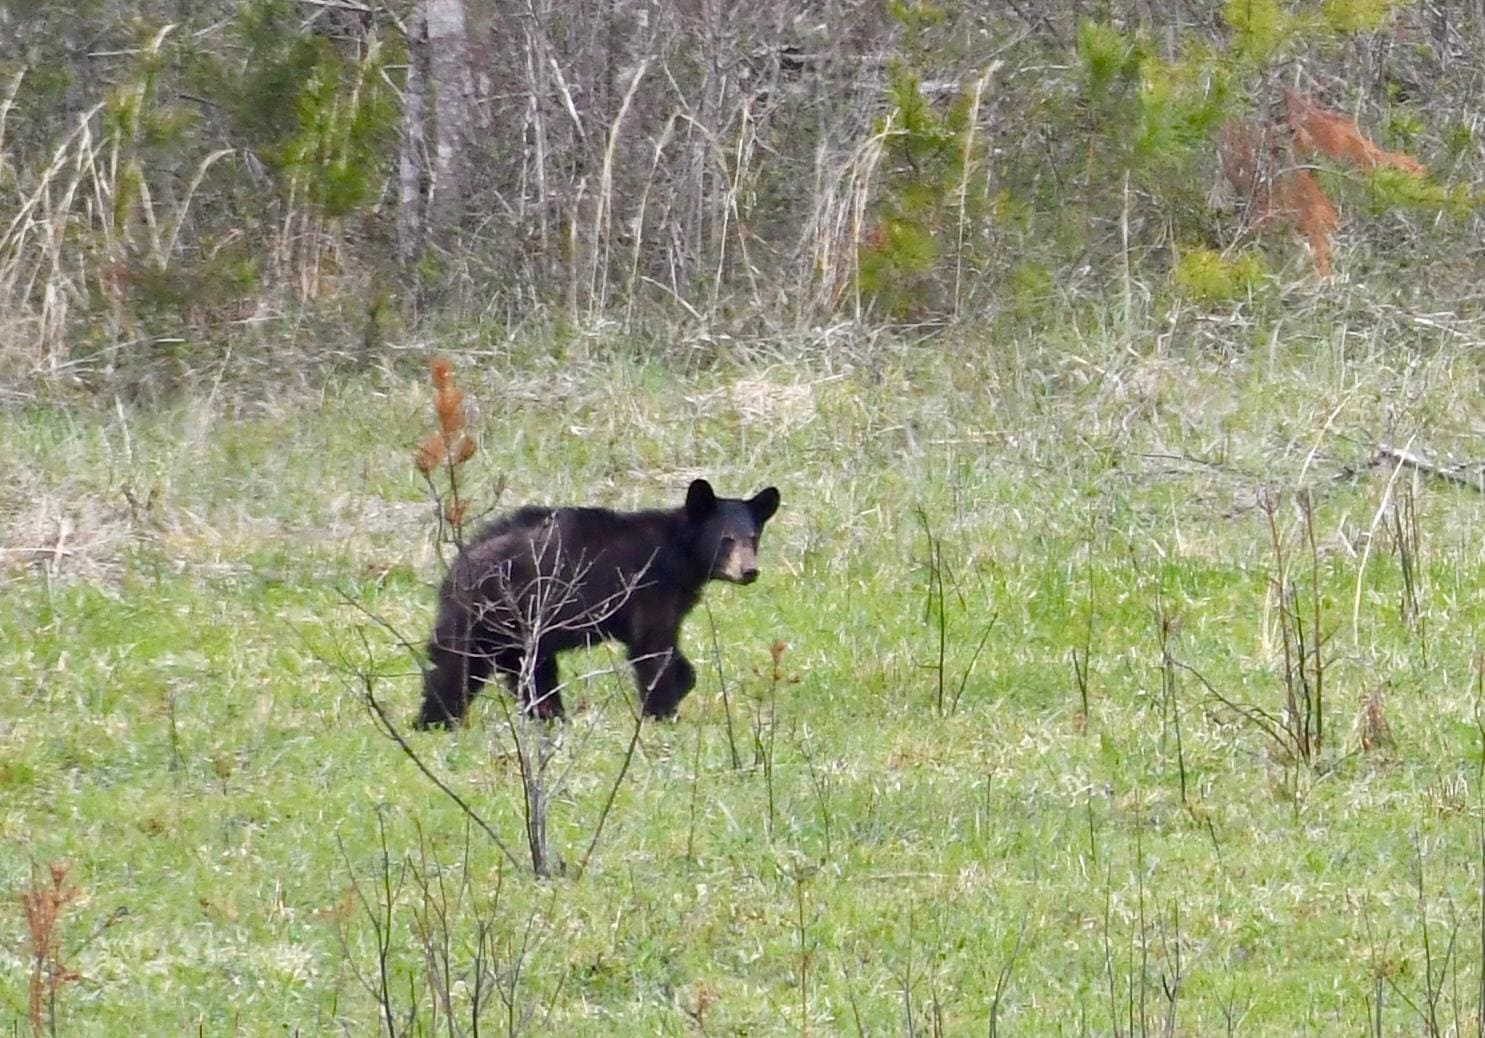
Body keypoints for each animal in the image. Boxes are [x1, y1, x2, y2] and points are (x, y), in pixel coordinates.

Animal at [415, 478, 781, 728]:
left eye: (753, 538)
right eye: (726, 539)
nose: (749, 571)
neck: (678, 553)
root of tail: (456, 568)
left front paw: (680, 686)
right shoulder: (648, 587)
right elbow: (652, 649)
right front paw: (662, 712)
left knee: (530, 672)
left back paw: (549, 717)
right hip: (488, 615)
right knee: (455, 666)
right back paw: (434, 721)